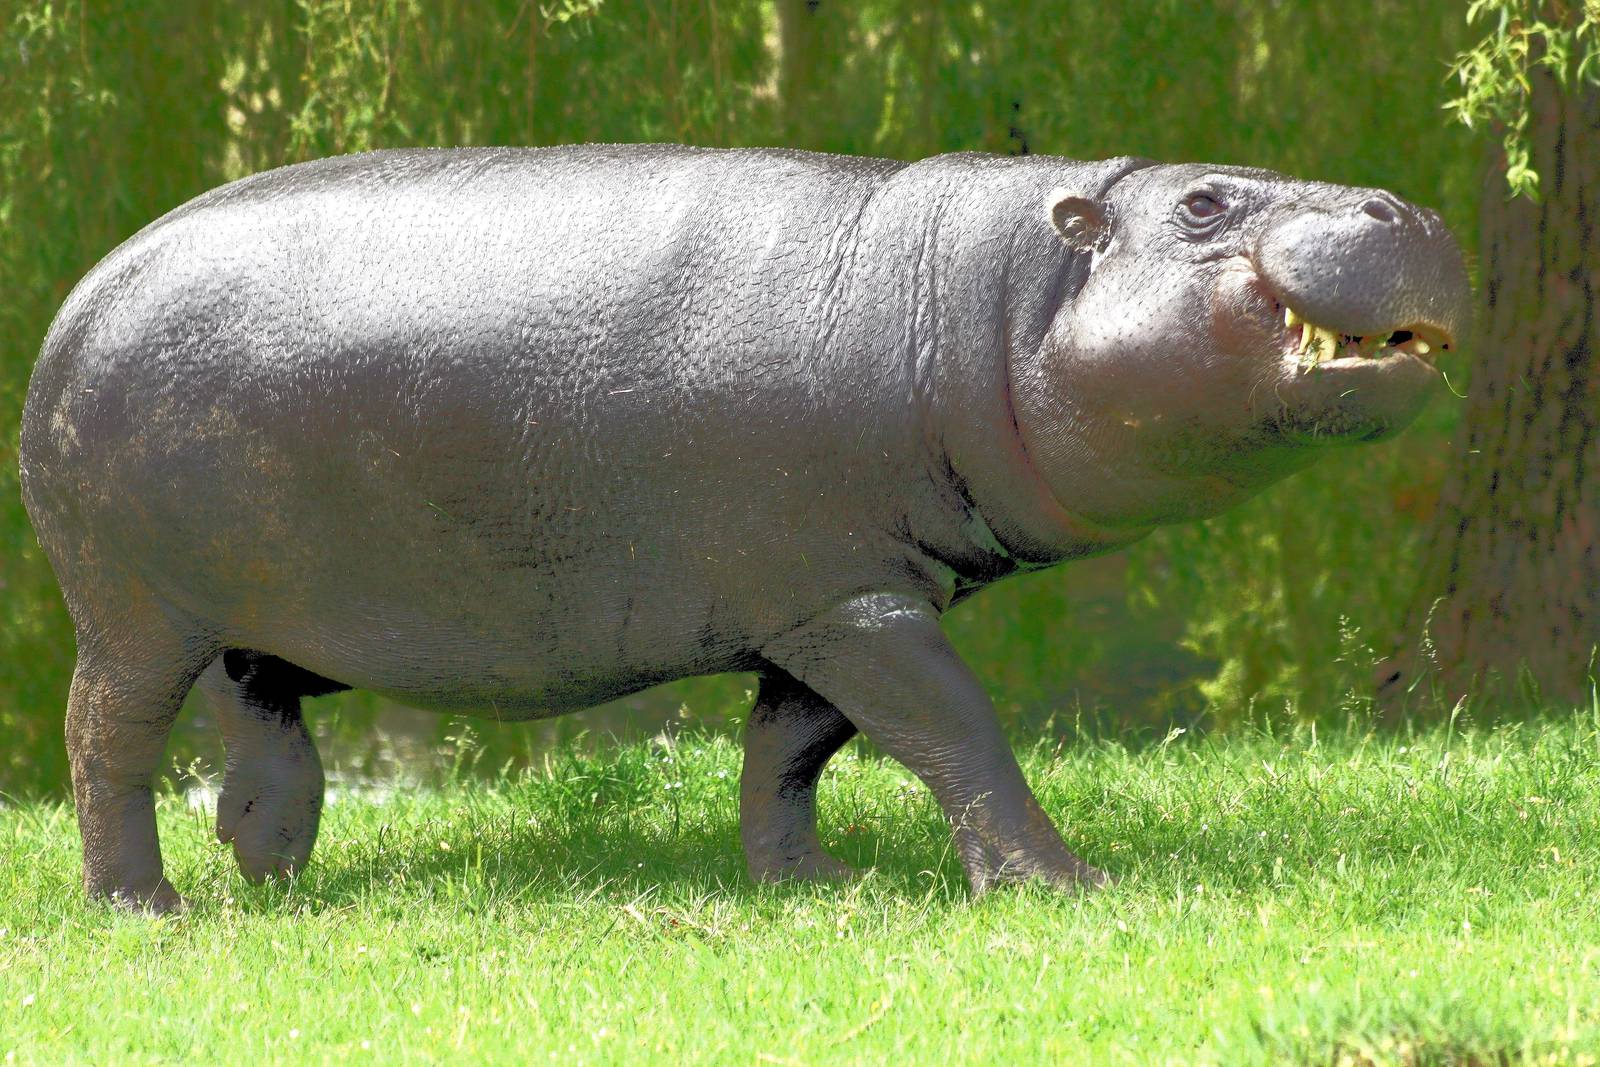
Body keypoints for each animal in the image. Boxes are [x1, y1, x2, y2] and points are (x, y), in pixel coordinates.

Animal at [19, 145, 1469, 911]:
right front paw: (1062, 882)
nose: (1403, 208)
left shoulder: (828, 594)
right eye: (1203, 201)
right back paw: (144, 903)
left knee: (261, 722)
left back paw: (270, 872)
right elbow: (954, 727)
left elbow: (793, 749)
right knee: (107, 737)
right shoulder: (856, 605)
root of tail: (77, 296)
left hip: (255, 610)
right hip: (135, 611)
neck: (992, 294)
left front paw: (812, 881)